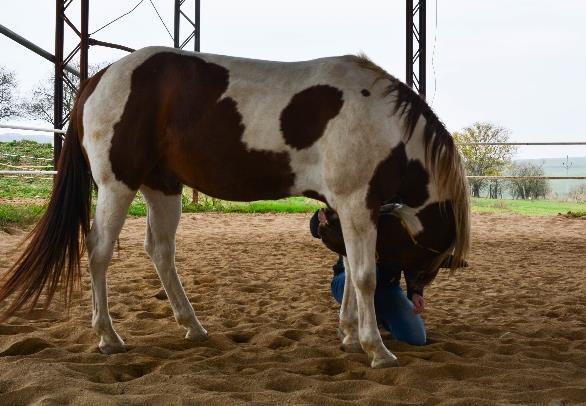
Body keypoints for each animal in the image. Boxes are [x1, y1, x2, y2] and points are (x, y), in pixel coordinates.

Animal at [0, 46, 468, 368]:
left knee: (160, 251)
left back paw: (192, 326)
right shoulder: (356, 205)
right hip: (118, 185)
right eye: (436, 258)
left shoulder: (350, 211)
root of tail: (98, 78)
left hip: (161, 187)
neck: (382, 123)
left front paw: (351, 337)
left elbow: (352, 273)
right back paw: (109, 337)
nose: (417, 301)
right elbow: (365, 277)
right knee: (99, 251)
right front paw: (377, 350)